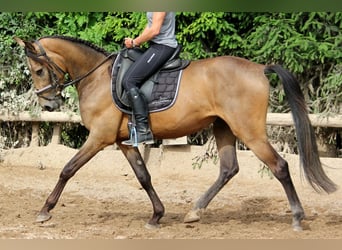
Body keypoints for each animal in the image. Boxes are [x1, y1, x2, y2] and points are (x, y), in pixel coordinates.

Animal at [14, 34, 336, 230]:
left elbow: (67, 169)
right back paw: (195, 212)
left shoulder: (99, 138)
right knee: (228, 169)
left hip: (250, 131)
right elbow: (143, 176)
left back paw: (297, 218)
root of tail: (258, 68)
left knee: (279, 166)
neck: (97, 77)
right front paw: (157, 215)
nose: (49, 103)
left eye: (38, 70)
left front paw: (45, 210)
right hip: (223, 127)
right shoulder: (124, 142)